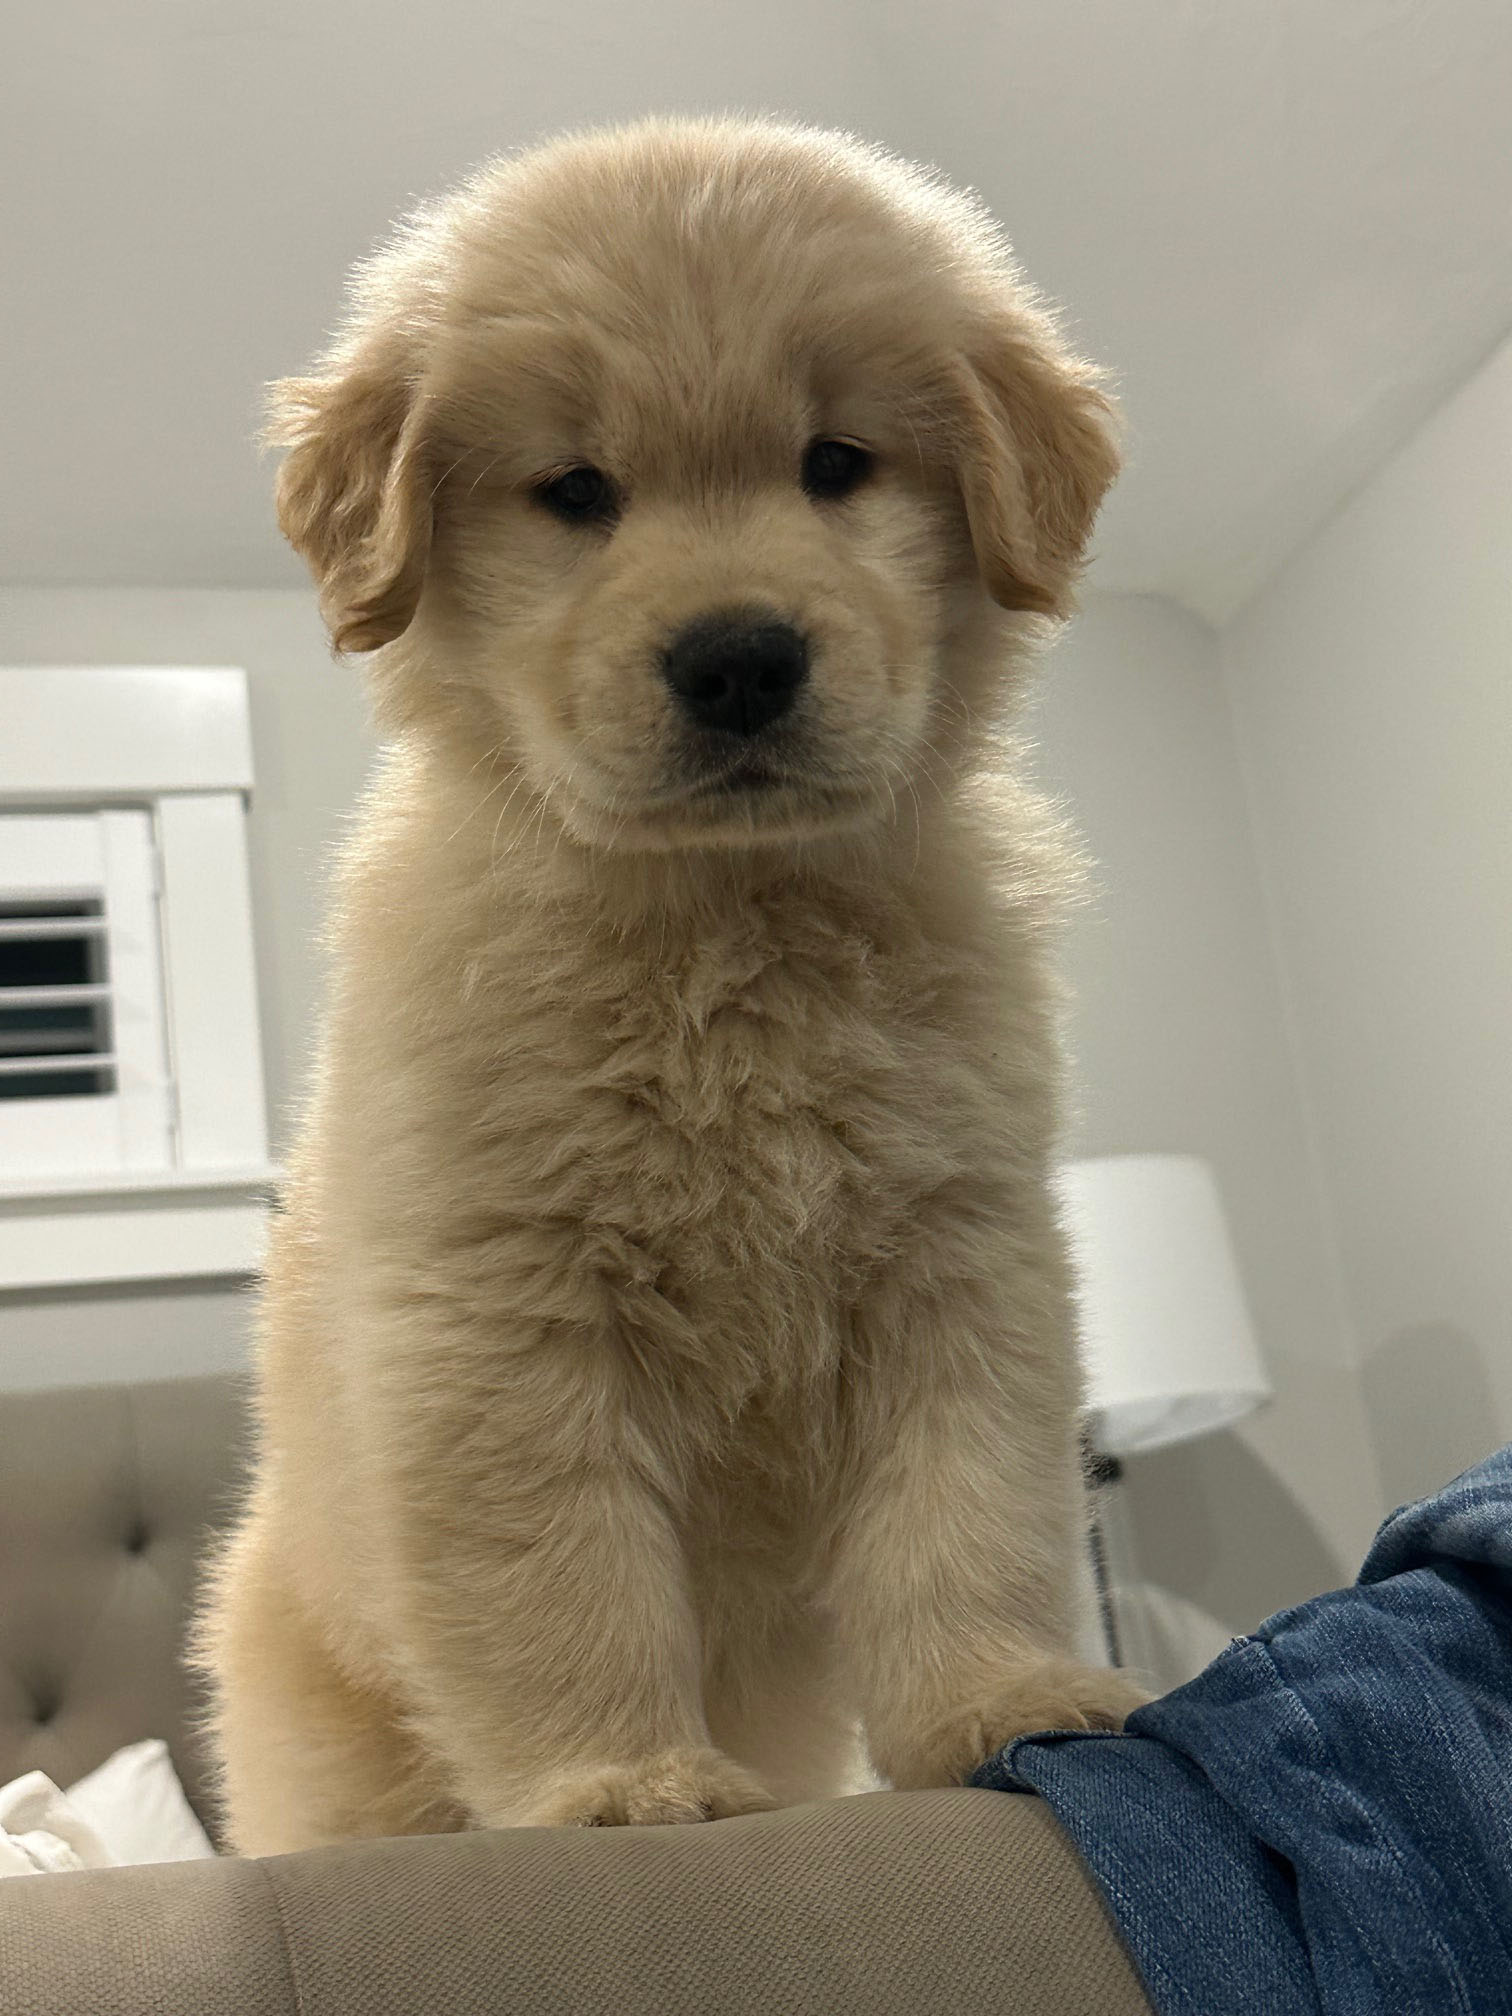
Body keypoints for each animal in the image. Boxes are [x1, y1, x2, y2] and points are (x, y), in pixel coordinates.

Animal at [195, 115, 1146, 1853]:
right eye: (577, 491)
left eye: (835, 463)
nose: (738, 659)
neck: (721, 920)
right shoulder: (502, 1311)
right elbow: (561, 1576)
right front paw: (620, 1787)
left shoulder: (960, 1259)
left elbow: (967, 1508)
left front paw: (1000, 1702)